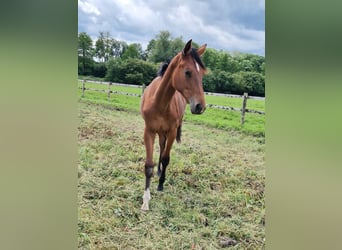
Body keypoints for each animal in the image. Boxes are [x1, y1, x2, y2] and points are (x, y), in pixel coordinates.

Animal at [140, 39, 208, 211]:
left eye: (202, 74)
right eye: (188, 72)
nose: (200, 106)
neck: (159, 102)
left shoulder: (171, 131)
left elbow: (166, 159)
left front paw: (160, 185)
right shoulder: (149, 131)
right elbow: (148, 165)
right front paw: (145, 201)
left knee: (164, 149)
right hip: (159, 132)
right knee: (161, 146)